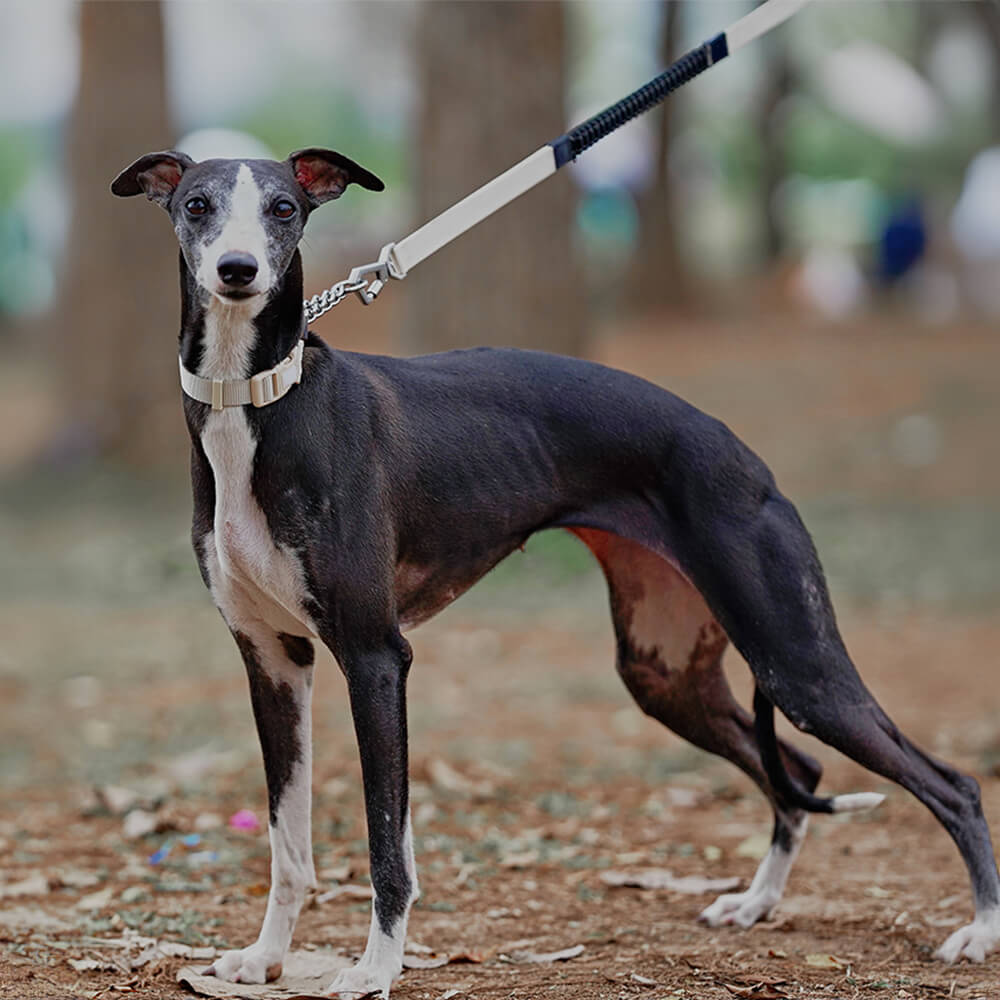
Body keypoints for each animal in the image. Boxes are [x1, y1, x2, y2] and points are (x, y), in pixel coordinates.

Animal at [109, 145, 1000, 996]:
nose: (237, 271)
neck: (261, 399)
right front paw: (265, 960)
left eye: (284, 209)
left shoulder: (375, 658)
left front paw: (375, 970)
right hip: (666, 671)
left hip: (799, 662)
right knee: (801, 771)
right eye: (198, 204)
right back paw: (756, 903)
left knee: (951, 783)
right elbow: (287, 843)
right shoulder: (274, 662)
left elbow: (387, 845)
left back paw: (979, 930)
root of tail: (744, 456)